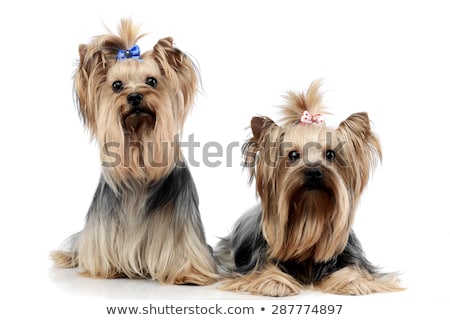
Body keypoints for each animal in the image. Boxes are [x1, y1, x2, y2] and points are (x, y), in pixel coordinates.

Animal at [216, 81, 402, 296]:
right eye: (293, 155)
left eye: (330, 154)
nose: (313, 172)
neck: (311, 213)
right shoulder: (257, 259)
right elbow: (263, 270)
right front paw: (274, 282)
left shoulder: (349, 256)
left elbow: (354, 271)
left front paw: (355, 282)